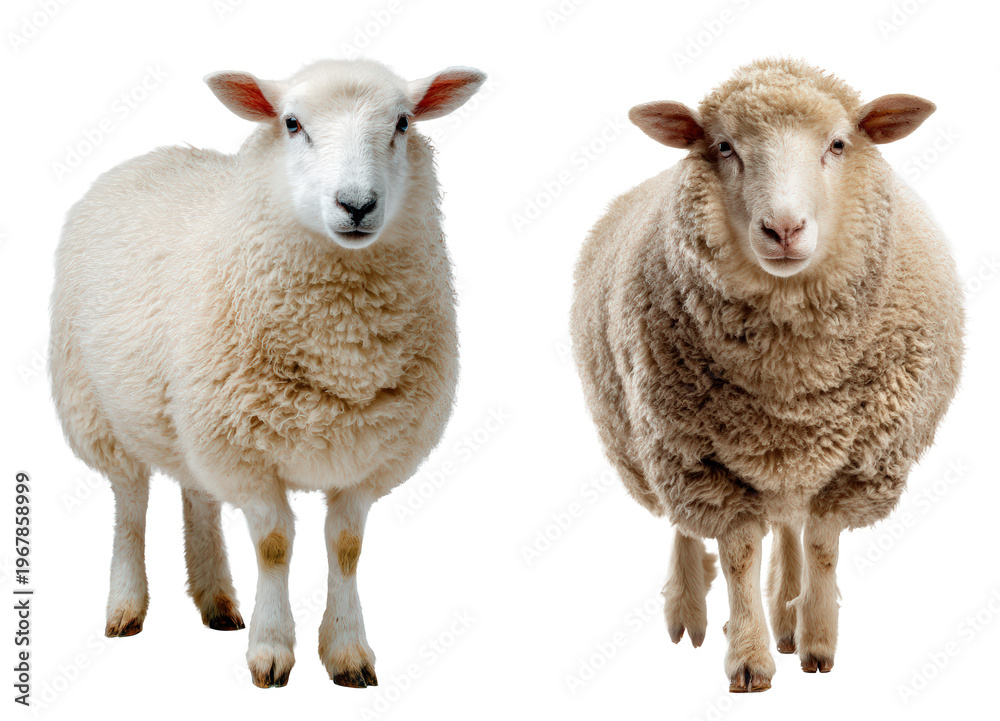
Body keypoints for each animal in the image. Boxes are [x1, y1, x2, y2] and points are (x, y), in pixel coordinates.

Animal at [48, 58, 485, 688]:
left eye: (403, 122)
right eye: (292, 123)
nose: (356, 204)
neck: (342, 341)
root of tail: (155, 153)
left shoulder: (366, 456)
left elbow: (346, 547)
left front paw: (348, 652)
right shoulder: (246, 453)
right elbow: (275, 544)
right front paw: (272, 651)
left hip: (191, 418)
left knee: (197, 496)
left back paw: (216, 601)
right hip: (96, 407)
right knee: (129, 504)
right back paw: (126, 606)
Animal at [570, 58, 963, 692]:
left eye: (838, 143)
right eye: (724, 146)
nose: (783, 229)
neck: (791, 383)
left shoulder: (856, 465)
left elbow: (822, 545)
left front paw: (817, 641)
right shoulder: (700, 461)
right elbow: (737, 556)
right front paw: (749, 658)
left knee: (787, 526)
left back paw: (787, 616)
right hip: (649, 442)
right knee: (685, 526)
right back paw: (689, 614)